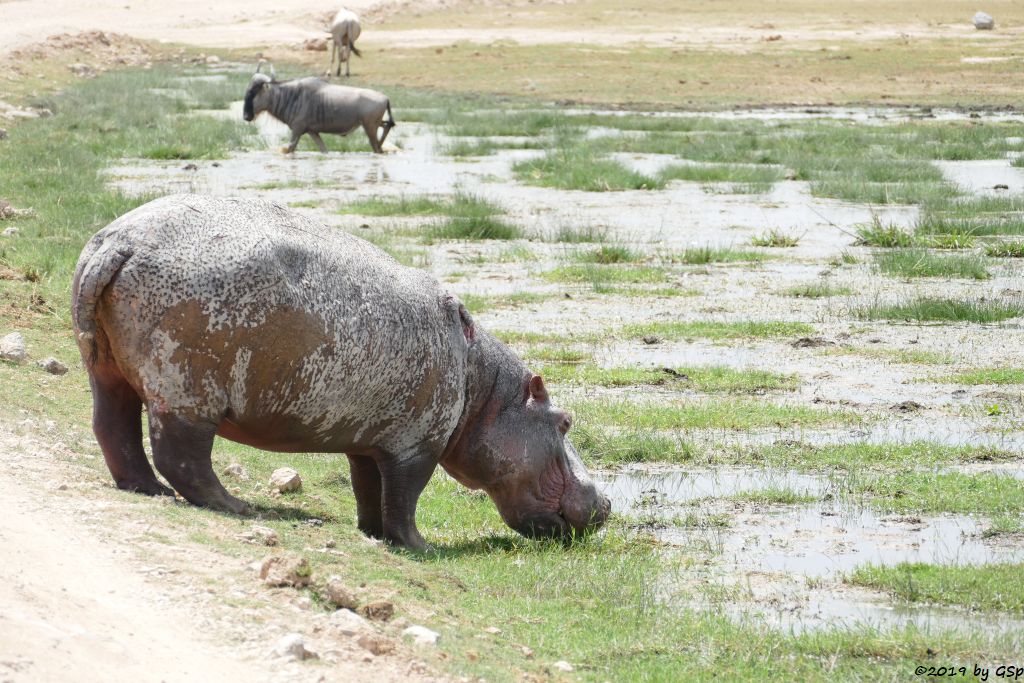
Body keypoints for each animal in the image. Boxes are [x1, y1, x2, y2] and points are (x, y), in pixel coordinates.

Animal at [75, 193, 610, 548]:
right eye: (565, 421)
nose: (606, 503)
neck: (485, 391)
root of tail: (116, 242)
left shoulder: (370, 439)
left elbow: (369, 490)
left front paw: (371, 534)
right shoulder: (416, 445)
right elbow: (405, 498)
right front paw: (420, 546)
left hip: (108, 372)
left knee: (113, 429)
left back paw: (146, 490)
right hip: (187, 393)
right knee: (182, 457)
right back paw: (236, 506)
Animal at [243, 63, 395, 153]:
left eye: (254, 92)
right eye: (247, 90)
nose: (246, 116)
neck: (290, 95)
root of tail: (385, 97)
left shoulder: (296, 131)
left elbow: (290, 149)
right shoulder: (312, 132)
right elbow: (323, 150)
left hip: (370, 127)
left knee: (377, 147)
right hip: (372, 124)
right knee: (386, 128)